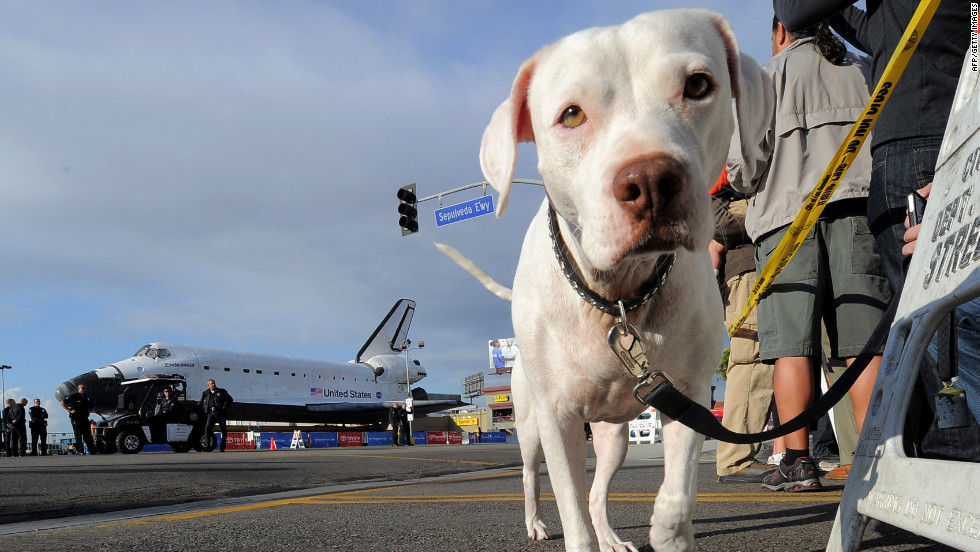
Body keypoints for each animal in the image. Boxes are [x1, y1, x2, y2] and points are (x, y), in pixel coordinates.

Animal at [444, 8, 772, 552]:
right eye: (572, 115)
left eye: (698, 85)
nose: (652, 180)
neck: (616, 294)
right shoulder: (558, 420)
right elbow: (572, 511)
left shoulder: (688, 393)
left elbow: (679, 490)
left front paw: (669, 530)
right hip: (531, 426)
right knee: (533, 475)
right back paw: (536, 523)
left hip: (614, 435)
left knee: (599, 492)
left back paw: (613, 537)